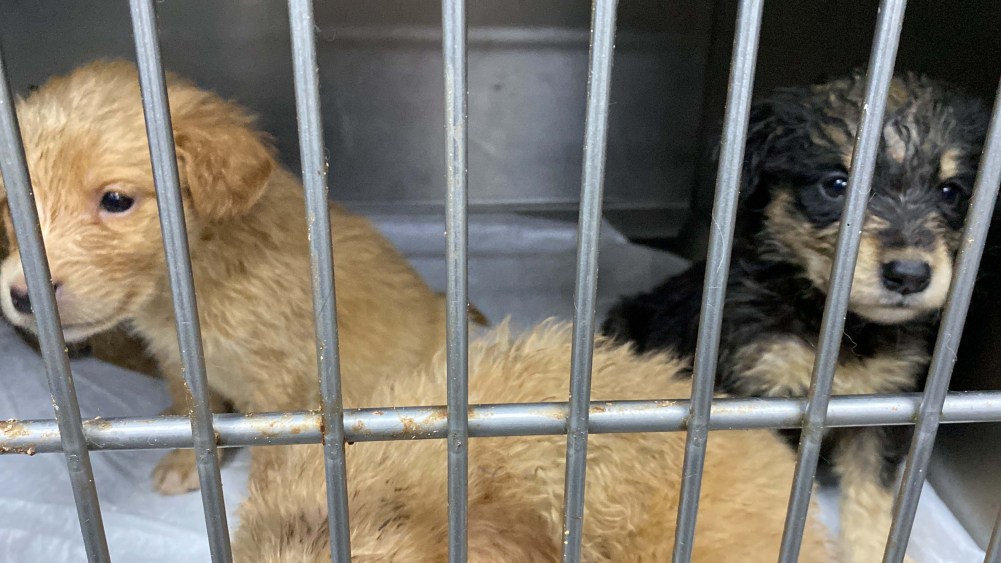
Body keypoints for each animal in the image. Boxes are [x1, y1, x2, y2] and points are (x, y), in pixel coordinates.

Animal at [0, 60, 467, 495]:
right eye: (13, 206)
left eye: (116, 200)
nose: (23, 296)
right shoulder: (181, 365)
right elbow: (197, 416)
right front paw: (187, 461)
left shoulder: (281, 382)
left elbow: (272, 454)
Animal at [603, 71, 989, 562]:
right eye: (836, 185)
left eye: (950, 192)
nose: (909, 275)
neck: (842, 328)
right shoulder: (758, 394)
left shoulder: (883, 408)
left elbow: (870, 500)